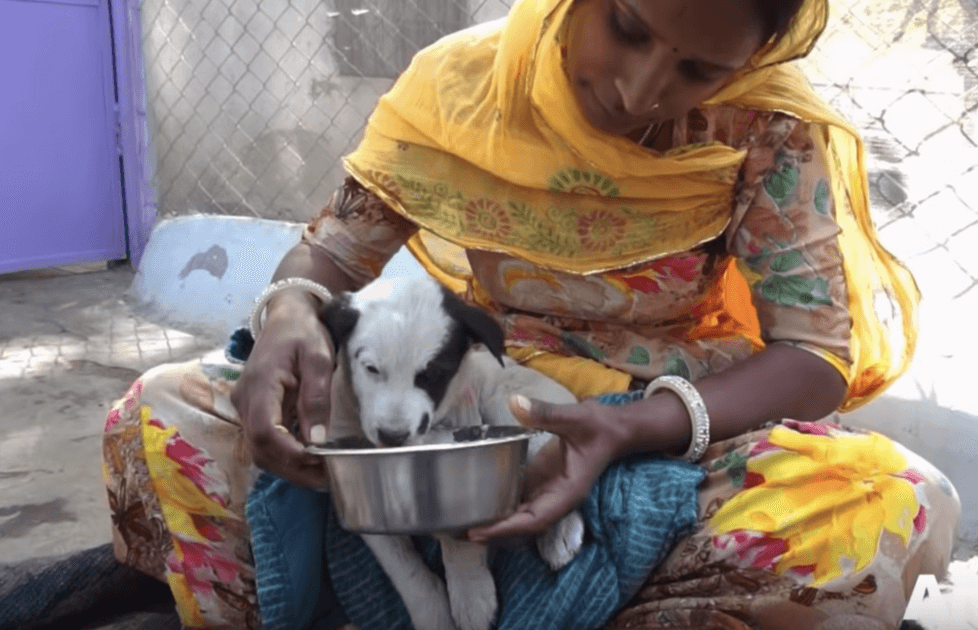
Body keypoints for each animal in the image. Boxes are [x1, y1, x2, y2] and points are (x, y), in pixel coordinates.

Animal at [316, 278, 584, 630]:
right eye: (371, 369)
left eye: (432, 375)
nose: (392, 436)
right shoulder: (358, 498)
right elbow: (404, 569)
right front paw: (433, 614)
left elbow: (458, 539)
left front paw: (471, 597)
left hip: (509, 403)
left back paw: (560, 533)